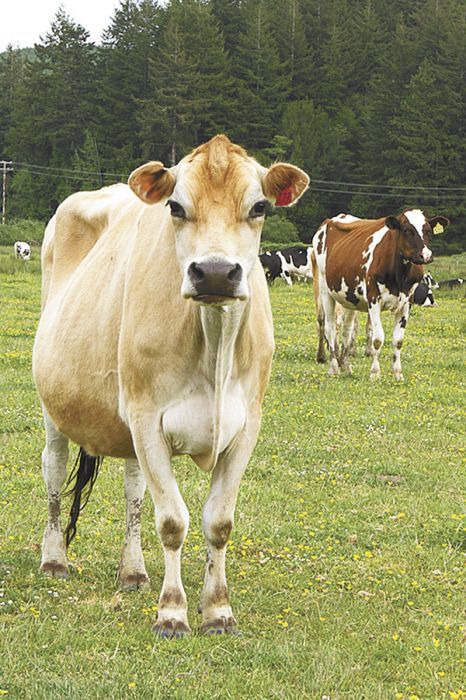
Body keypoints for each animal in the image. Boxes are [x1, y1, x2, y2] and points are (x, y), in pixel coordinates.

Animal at [32, 134, 310, 636]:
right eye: (176, 207)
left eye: (259, 206)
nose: (216, 272)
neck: (213, 347)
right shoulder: (146, 418)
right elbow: (172, 522)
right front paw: (173, 611)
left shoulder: (247, 426)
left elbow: (218, 522)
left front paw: (217, 609)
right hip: (54, 406)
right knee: (54, 472)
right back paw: (54, 559)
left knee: (133, 490)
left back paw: (133, 571)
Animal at [314, 211, 448, 380]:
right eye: (407, 230)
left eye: (428, 231)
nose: (426, 256)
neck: (399, 275)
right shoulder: (374, 300)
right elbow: (378, 338)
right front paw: (375, 373)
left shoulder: (406, 303)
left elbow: (398, 340)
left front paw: (398, 374)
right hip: (325, 290)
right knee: (330, 327)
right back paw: (333, 368)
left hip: (349, 297)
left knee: (347, 328)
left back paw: (346, 366)